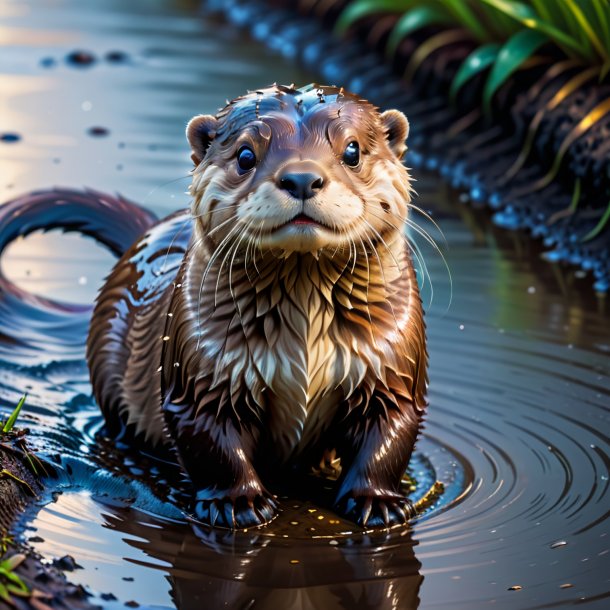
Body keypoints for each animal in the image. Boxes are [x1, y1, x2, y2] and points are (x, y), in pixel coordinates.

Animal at [86, 83, 428, 524]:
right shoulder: (201, 367)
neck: (306, 342)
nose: (302, 177)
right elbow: (212, 441)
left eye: (352, 151)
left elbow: (390, 430)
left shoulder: (394, 364)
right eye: (245, 155)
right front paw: (238, 503)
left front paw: (377, 501)